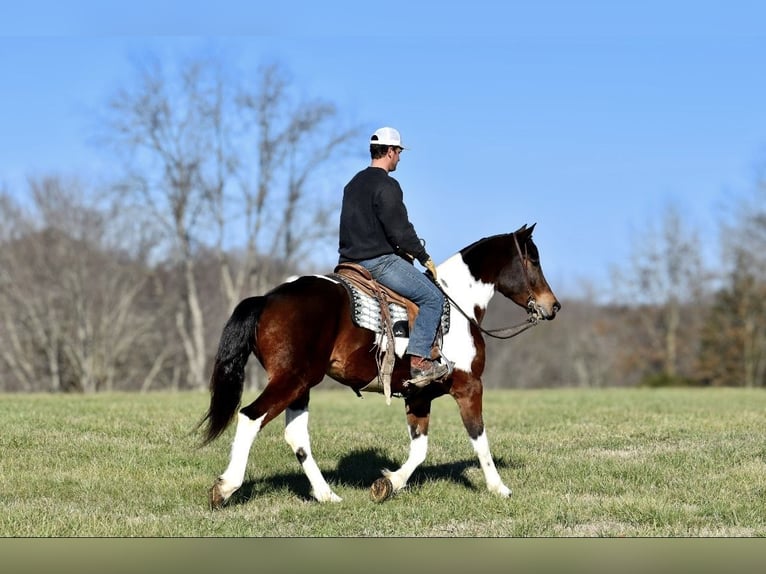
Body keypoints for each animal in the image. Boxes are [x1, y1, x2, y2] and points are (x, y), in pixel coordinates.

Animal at [201, 225, 560, 508]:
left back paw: (326, 494)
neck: (458, 305)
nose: (553, 306)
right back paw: (226, 487)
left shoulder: (419, 396)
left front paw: (389, 483)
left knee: (296, 435)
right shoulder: (469, 386)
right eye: (534, 259)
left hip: (300, 385)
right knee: (251, 417)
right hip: (290, 381)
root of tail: (267, 299)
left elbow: (419, 449)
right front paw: (499, 487)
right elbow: (479, 438)